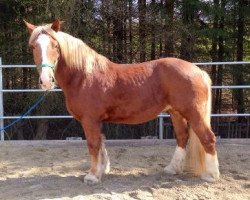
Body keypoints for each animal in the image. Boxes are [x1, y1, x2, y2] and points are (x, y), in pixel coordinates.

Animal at [24, 19, 220, 184]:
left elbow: (93, 145)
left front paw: (92, 176)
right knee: (182, 137)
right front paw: (102, 170)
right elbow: (101, 143)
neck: (83, 75)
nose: (46, 80)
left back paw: (211, 175)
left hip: (194, 113)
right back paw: (172, 169)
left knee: (208, 138)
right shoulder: (96, 121)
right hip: (176, 112)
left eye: (55, 45)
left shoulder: (90, 120)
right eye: (33, 46)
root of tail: (198, 71)